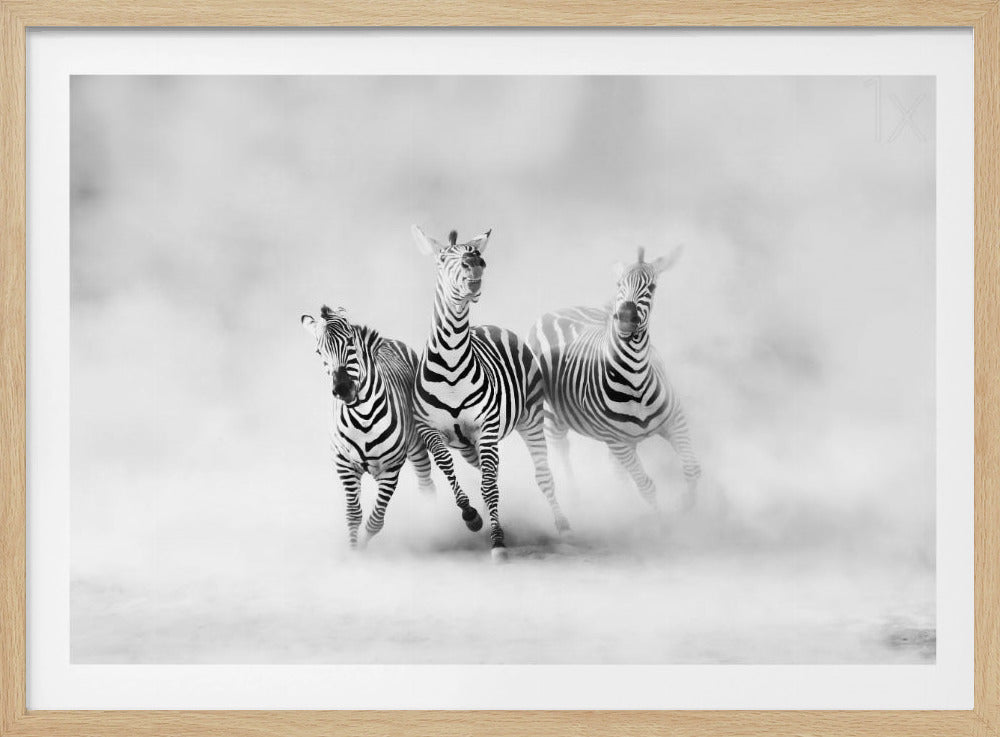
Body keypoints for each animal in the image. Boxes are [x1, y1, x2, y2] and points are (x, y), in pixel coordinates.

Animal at [301, 305, 435, 549]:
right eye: (319, 352)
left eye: (350, 342)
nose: (343, 389)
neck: (363, 416)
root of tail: (389, 340)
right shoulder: (344, 464)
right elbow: (353, 515)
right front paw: (354, 552)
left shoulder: (391, 467)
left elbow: (375, 521)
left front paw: (362, 548)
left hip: (417, 446)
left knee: (426, 485)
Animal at [410, 226, 570, 561]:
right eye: (442, 258)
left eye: (476, 254)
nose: (475, 263)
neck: (451, 363)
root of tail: (492, 326)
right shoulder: (430, 431)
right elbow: (450, 470)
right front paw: (472, 517)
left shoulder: (485, 428)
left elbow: (488, 486)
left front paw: (498, 541)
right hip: (469, 445)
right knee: (487, 472)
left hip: (530, 419)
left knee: (542, 474)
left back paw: (563, 525)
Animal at [527, 246, 701, 511]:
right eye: (619, 284)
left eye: (652, 287)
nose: (626, 317)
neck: (636, 378)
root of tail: (557, 311)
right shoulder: (617, 442)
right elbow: (647, 487)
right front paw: (663, 521)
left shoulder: (675, 420)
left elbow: (691, 469)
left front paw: (690, 509)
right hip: (551, 413)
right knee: (560, 447)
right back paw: (575, 497)